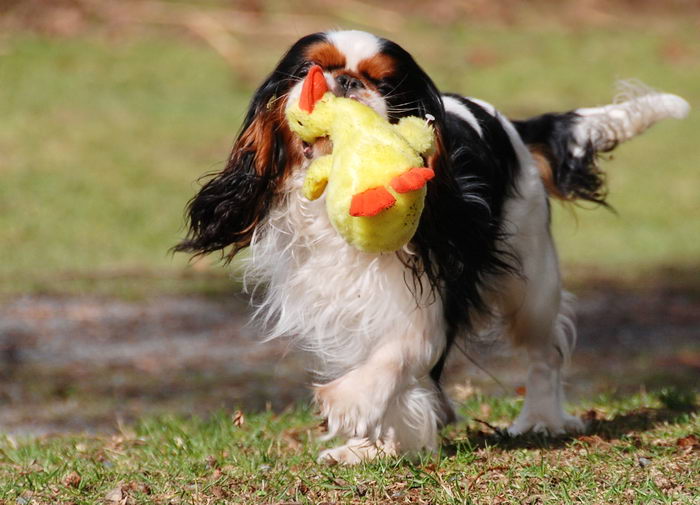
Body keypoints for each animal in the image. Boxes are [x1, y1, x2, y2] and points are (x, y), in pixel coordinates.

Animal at [175, 29, 688, 462]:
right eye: (310, 69)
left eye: (383, 82)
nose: (346, 81)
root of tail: (512, 125)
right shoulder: (341, 302)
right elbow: (378, 366)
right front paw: (368, 447)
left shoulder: (427, 298)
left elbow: (399, 354)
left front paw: (348, 405)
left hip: (532, 280)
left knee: (544, 352)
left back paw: (540, 419)